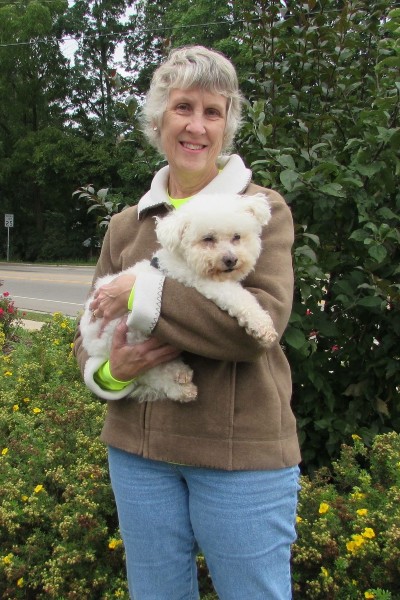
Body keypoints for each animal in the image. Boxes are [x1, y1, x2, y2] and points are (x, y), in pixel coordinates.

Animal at [79, 193, 276, 404]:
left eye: (237, 237)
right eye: (208, 239)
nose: (231, 260)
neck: (184, 260)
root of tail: (90, 343)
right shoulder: (205, 283)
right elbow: (240, 298)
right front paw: (262, 326)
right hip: (129, 340)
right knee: (150, 373)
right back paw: (179, 383)